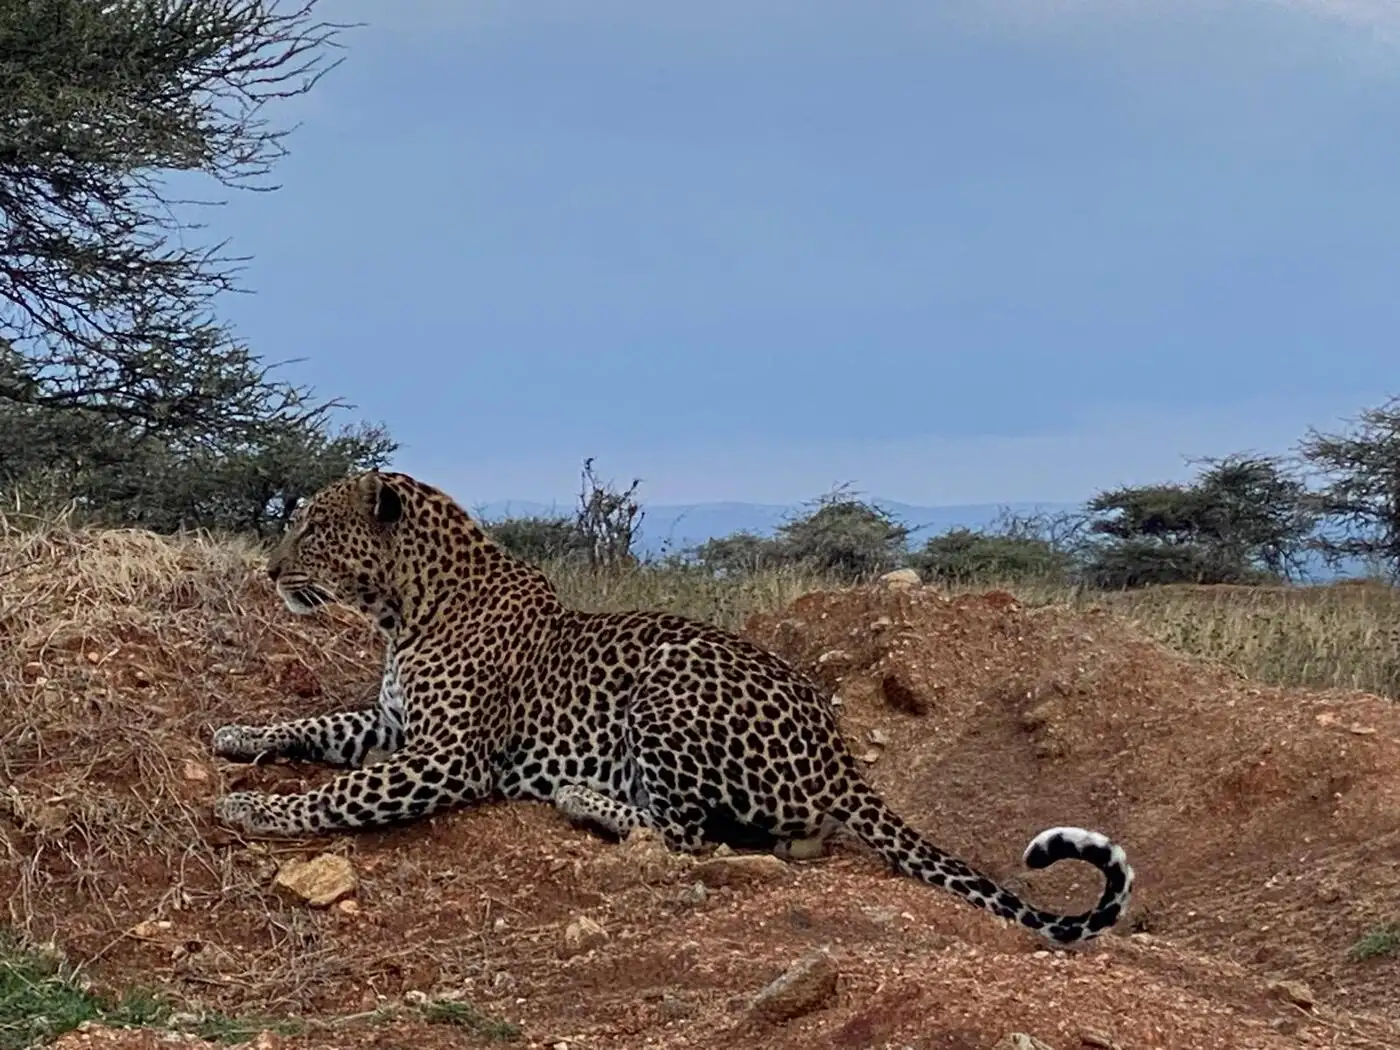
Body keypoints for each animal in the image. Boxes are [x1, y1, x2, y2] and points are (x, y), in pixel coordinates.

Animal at [215, 467, 1136, 946]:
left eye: (312, 530)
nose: (268, 570)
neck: (406, 607)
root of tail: (838, 753)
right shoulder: (391, 724)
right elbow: (316, 725)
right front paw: (235, 734)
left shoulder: (447, 756)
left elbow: (339, 790)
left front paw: (254, 809)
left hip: (666, 685)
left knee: (692, 833)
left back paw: (584, 797)